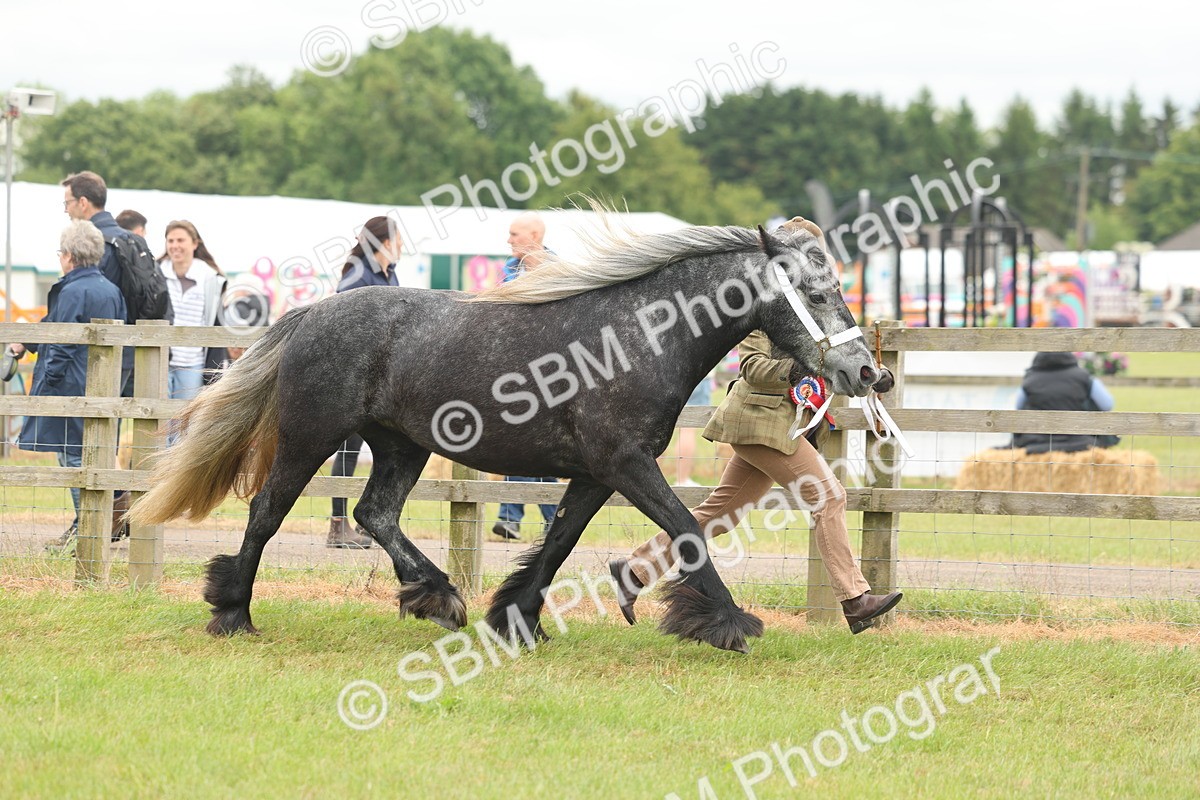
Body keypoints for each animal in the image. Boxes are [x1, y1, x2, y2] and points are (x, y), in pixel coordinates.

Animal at [128, 216, 880, 654]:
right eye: (817, 292)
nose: (865, 370)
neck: (639, 336)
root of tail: (310, 314)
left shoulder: (595, 473)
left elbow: (558, 545)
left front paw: (517, 620)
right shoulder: (626, 464)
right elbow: (688, 530)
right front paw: (728, 626)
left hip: (402, 445)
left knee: (376, 513)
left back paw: (438, 597)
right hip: (312, 437)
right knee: (267, 513)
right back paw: (234, 613)